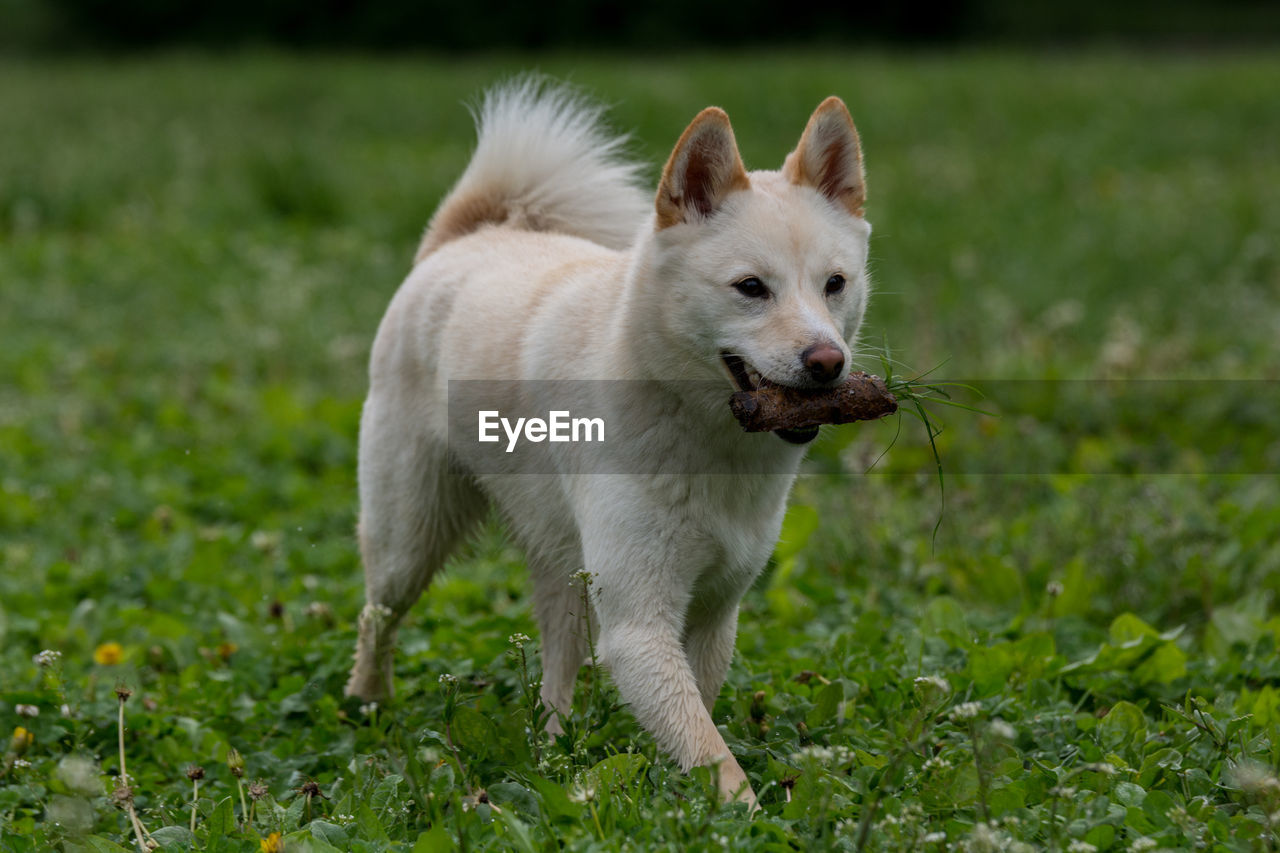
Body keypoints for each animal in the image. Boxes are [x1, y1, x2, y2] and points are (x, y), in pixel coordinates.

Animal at [350, 81, 870, 804]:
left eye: (835, 284)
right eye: (750, 288)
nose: (827, 363)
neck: (703, 435)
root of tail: (469, 234)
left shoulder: (713, 615)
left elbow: (696, 722)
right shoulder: (637, 627)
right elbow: (714, 753)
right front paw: (743, 811)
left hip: (565, 572)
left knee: (555, 673)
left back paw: (553, 757)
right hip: (409, 540)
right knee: (377, 617)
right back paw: (367, 705)